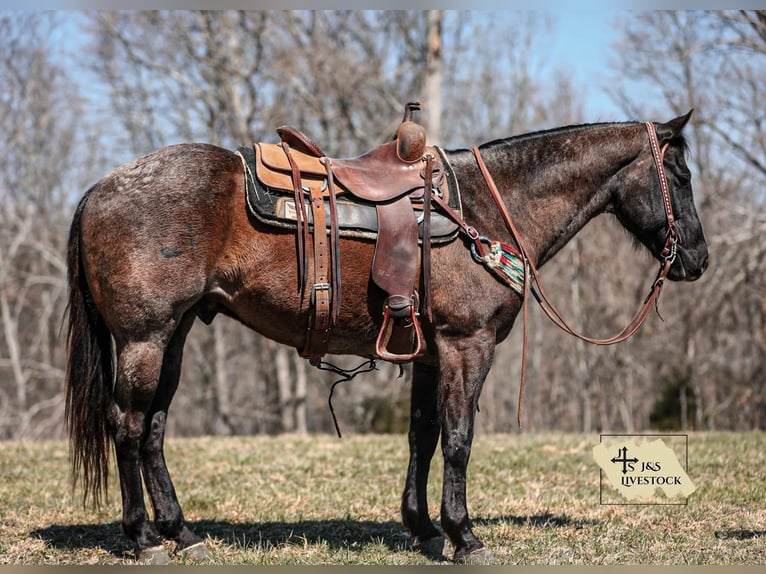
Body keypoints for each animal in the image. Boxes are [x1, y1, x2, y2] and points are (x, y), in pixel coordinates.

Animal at [64, 110, 708, 564]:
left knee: (153, 429)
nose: (698, 260)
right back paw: (144, 538)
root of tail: (99, 189)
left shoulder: (429, 353)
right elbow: (459, 439)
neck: (488, 208)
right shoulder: (467, 345)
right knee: (127, 426)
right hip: (146, 338)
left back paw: (182, 533)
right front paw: (464, 535)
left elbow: (423, 436)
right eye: (680, 175)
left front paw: (423, 528)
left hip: (171, 337)